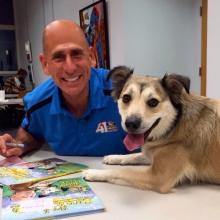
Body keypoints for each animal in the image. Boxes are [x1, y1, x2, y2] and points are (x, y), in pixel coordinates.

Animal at [83, 65, 220, 192]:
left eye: (153, 102)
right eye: (126, 98)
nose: (131, 123)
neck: (174, 125)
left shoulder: (158, 177)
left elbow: (122, 172)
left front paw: (95, 173)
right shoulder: (153, 152)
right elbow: (135, 155)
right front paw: (114, 157)